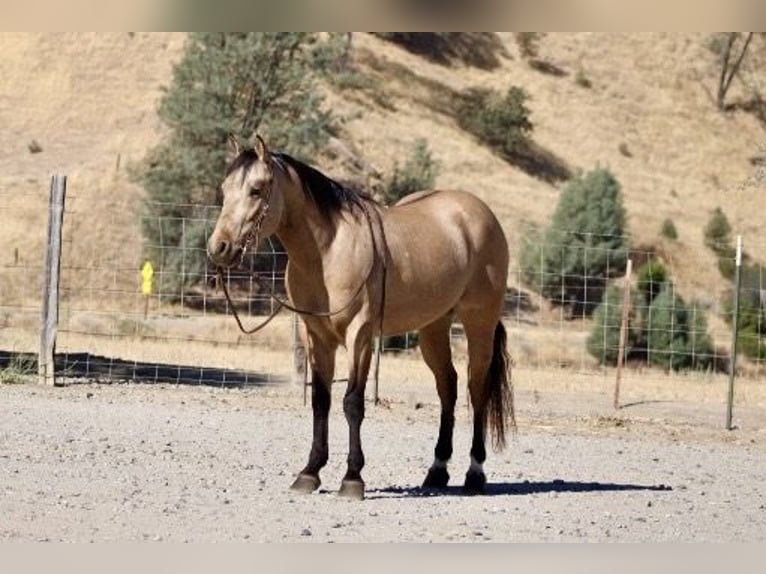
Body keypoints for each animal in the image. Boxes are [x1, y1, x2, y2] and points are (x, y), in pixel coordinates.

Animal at [207, 134, 513, 500]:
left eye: (255, 190)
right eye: (225, 189)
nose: (219, 248)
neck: (329, 251)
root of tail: (481, 213)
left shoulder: (361, 336)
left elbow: (352, 402)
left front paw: (352, 478)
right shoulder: (317, 337)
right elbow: (321, 401)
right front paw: (310, 473)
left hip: (479, 322)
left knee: (476, 388)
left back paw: (475, 474)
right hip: (434, 327)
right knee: (448, 387)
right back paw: (437, 471)